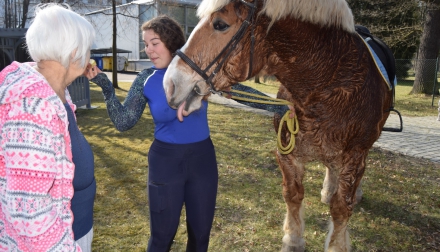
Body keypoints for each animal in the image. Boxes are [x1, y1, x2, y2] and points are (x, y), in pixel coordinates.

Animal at [162, 0, 392, 251]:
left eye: (220, 24)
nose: (170, 84)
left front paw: (336, 245)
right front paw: (293, 240)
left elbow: (341, 209)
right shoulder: (287, 153)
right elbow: (292, 195)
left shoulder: (354, 156)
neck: (330, 80)